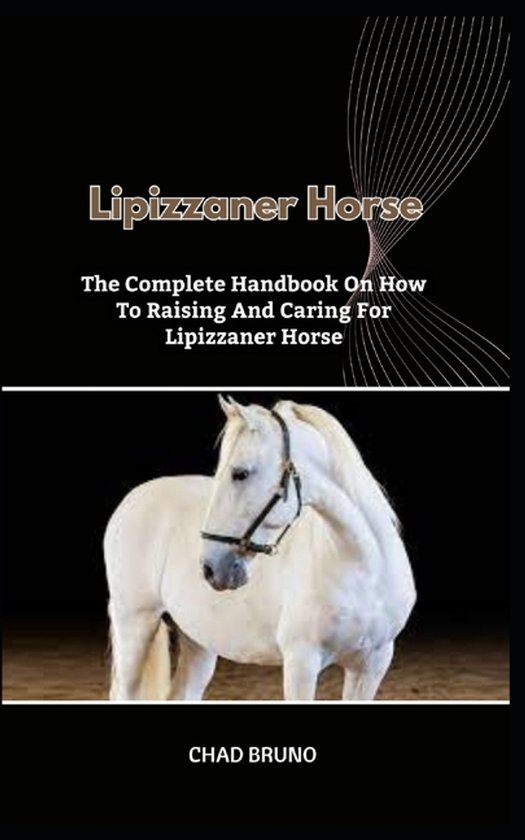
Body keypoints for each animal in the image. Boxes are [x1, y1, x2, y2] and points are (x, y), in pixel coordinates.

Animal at [104, 397, 416, 701]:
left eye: (240, 473)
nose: (211, 568)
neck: (363, 569)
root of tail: (132, 498)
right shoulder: (301, 662)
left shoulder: (372, 665)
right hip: (135, 621)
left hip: (197, 639)